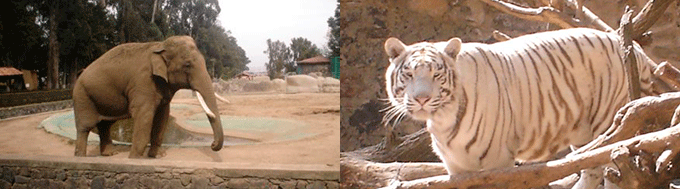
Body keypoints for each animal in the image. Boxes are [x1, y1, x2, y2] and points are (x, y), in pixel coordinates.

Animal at [72, 35, 226, 158]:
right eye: (187, 65)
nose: (212, 144)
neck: (160, 45)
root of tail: (80, 74)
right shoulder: (143, 82)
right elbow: (144, 116)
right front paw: (134, 158)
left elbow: (162, 117)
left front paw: (155, 156)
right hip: (82, 96)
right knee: (85, 127)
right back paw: (81, 156)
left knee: (105, 125)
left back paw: (109, 154)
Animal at [382, 28, 652, 186]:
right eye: (408, 74)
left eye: (436, 75)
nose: (422, 98)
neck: (442, 119)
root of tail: (632, 45)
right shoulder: (456, 167)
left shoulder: (497, 162)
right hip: (584, 131)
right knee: (591, 166)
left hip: (608, 121)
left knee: (610, 166)